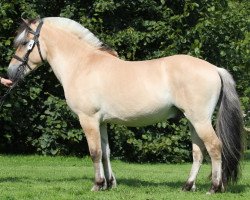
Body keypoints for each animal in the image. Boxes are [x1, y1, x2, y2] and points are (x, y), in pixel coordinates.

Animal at [6, 17, 243, 194]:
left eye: (23, 42)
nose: (9, 73)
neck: (82, 65)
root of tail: (214, 68)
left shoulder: (88, 119)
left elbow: (94, 152)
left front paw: (97, 185)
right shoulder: (101, 122)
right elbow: (105, 152)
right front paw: (110, 184)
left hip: (200, 120)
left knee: (214, 147)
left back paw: (214, 187)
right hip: (192, 121)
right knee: (198, 152)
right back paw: (188, 186)